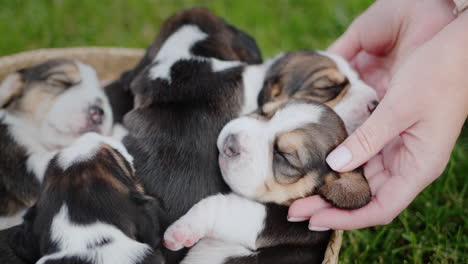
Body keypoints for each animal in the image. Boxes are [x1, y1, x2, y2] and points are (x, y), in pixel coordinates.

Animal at [163, 99, 372, 264]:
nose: (230, 143)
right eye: (264, 111)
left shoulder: (278, 222)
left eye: (284, 156)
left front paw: (180, 231)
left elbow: (222, 205)